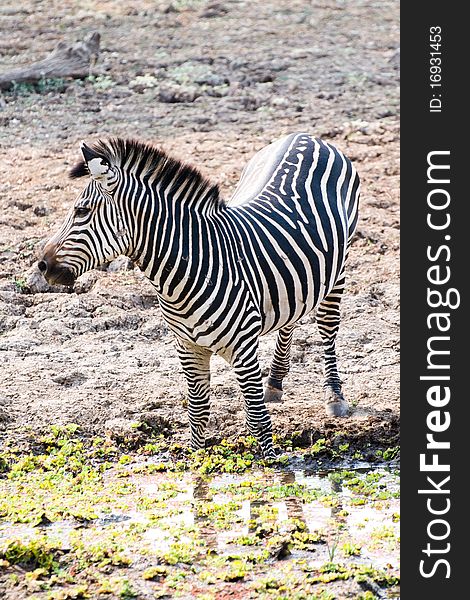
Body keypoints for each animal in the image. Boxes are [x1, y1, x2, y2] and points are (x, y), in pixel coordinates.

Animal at [38, 134, 362, 458]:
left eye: (81, 212)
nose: (42, 265)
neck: (187, 272)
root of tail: (305, 136)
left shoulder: (244, 348)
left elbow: (257, 419)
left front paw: (273, 465)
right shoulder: (187, 347)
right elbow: (198, 413)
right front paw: (195, 462)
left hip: (339, 265)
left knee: (327, 327)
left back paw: (334, 395)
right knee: (291, 316)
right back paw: (274, 383)